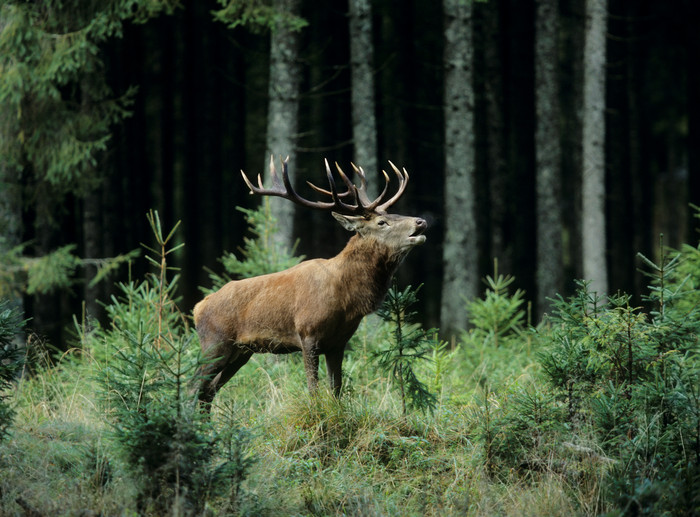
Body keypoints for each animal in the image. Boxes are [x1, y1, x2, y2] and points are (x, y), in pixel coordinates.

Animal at [194, 155, 430, 406]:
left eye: (396, 214)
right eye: (381, 223)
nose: (421, 221)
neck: (346, 300)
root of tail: (198, 308)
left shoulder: (338, 343)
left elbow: (336, 390)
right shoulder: (308, 333)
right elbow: (313, 390)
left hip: (241, 351)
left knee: (208, 391)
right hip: (215, 342)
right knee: (194, 386)